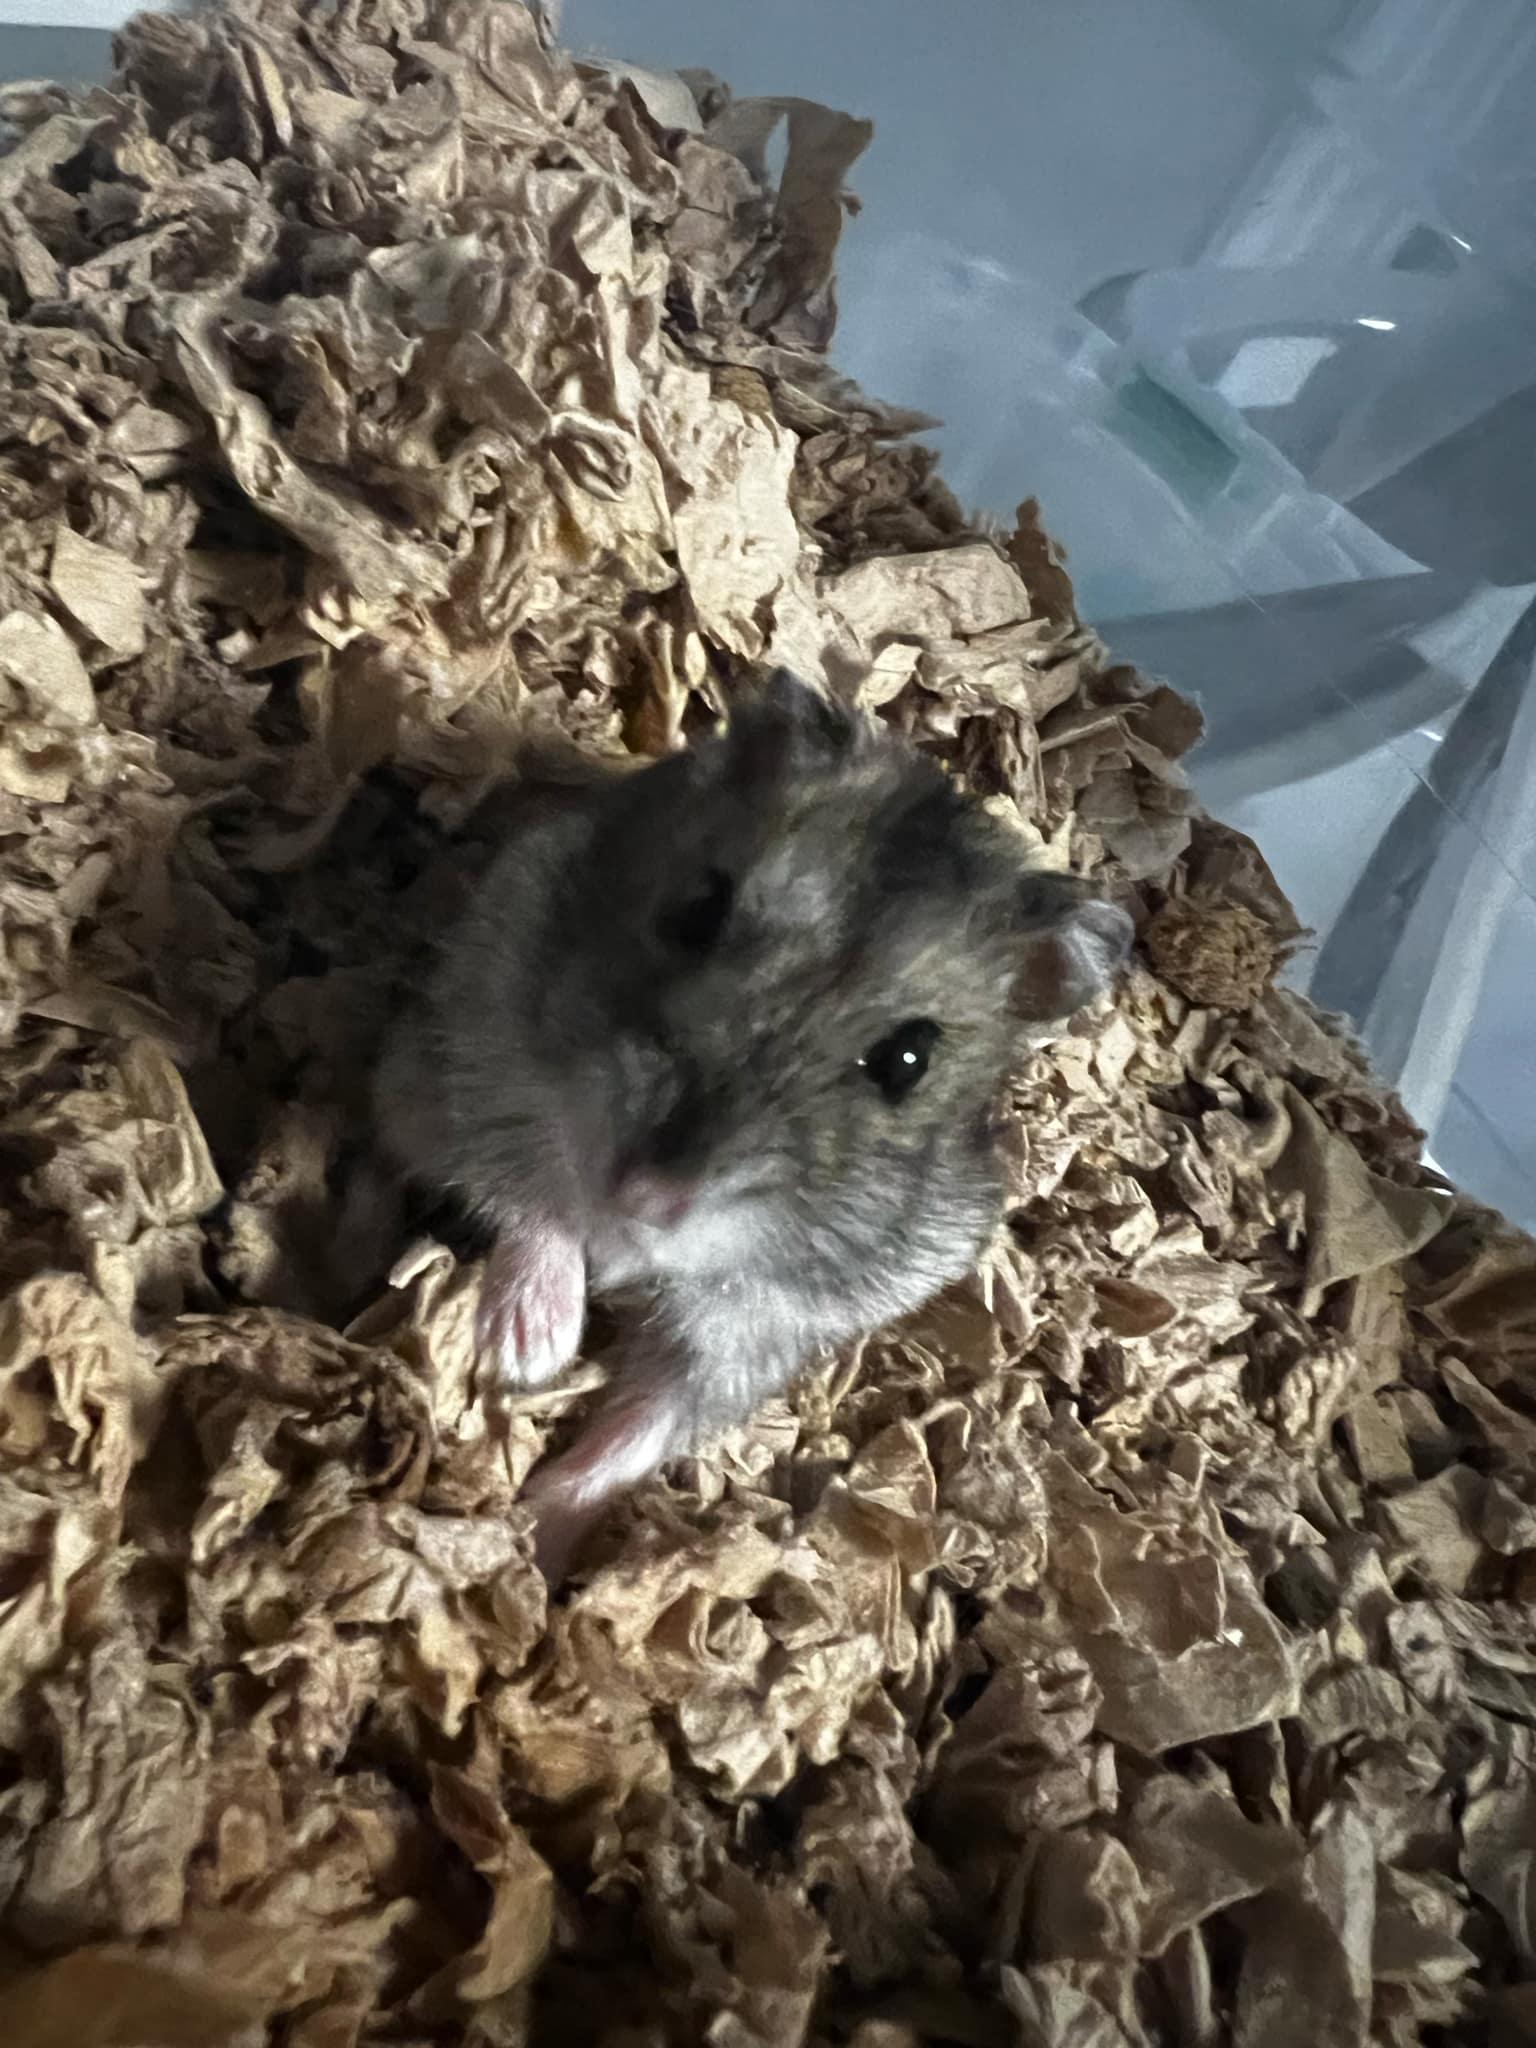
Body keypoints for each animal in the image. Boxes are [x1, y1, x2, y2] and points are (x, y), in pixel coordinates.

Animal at [374, 670, 1133, 1577]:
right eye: (698, 910)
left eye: (909, 1060)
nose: (643, 1197)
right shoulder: (460, 1066)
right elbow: (531, 1196)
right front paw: (527, 1355)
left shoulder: (758, 1329)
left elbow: (643, 1430)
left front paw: (537, 1541)